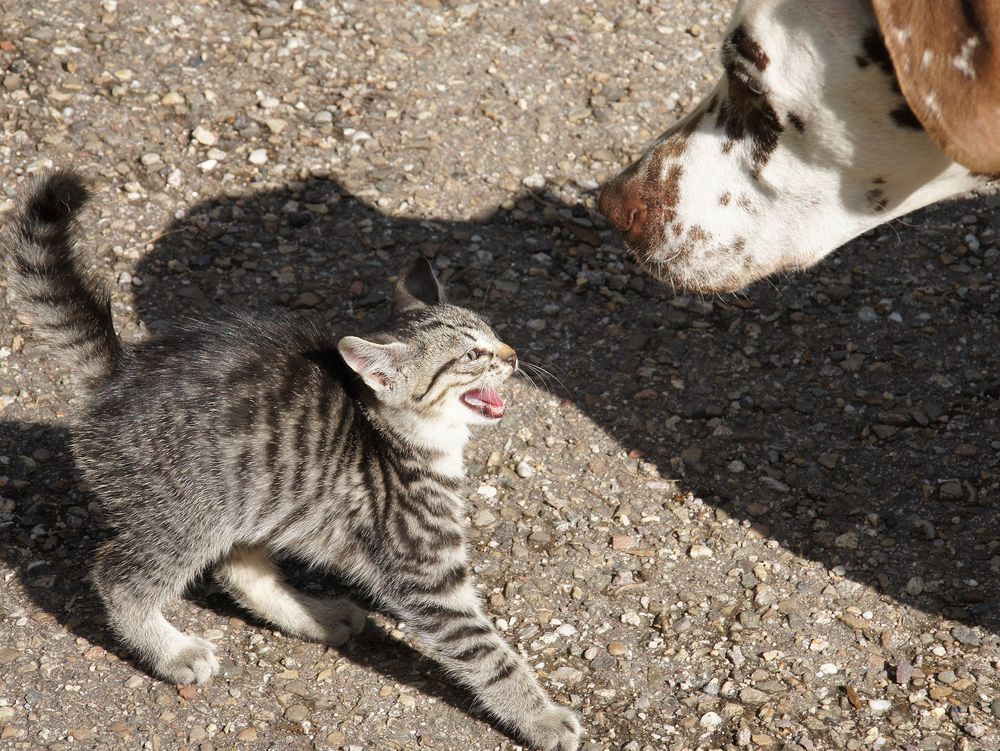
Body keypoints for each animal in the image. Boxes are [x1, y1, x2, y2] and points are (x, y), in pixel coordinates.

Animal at [1, 172, 580, 751]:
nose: (512, 356)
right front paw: (542, 717)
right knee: (119, 577)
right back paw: (173, 650)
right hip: (187, 513)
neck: (403, 434)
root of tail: (119, 375)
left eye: (493, 333)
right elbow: (487, 653)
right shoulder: (425, 573)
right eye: (470, 356)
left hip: (251, 496)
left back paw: (318, 616)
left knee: (242, 573)